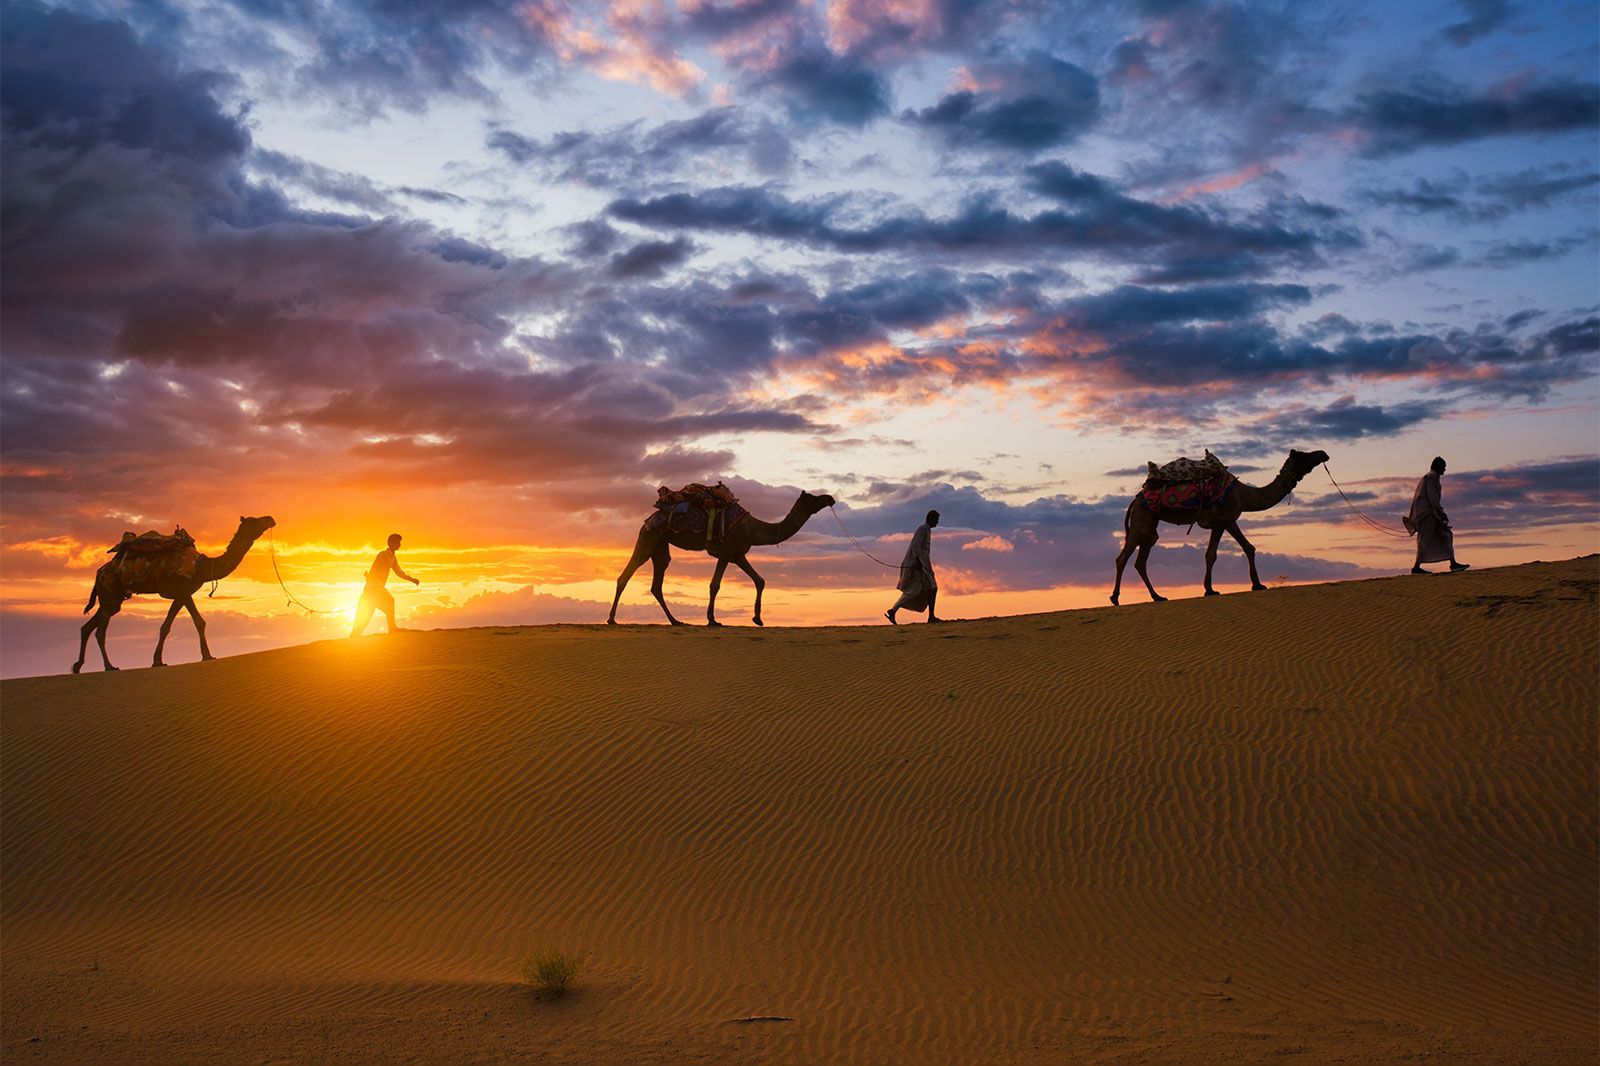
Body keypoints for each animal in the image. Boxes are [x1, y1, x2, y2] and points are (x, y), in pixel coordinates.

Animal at [74, 515, 277, 672]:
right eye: (254, 520)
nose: (270, 519)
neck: (203, 567)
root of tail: (99, 573)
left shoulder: (184, 593)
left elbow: (193, 623)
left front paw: (205, 655)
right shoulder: (182, 590)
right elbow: (177, 625)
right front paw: (160, 661)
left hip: (111, 598)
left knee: (87, 627)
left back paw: (77, 666)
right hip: (110, 591)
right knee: (100, 631)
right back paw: (109, 666)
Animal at [608, 490, 835, 627]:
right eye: (814, 498)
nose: (830, 498)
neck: (753, 528)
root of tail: (648, 519)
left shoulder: (738, 554)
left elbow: (760, 580)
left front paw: (758, 618)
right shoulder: (726, 551)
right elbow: (714, 585)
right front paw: (712, 620)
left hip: (661, 545)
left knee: (657, 583)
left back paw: (676, 621)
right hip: (649, 536)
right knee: (626, 574)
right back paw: (611, 619)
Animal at [1111, 449, 1329, 605]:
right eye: (1304, 455)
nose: (1323, 453)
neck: (1243, 495)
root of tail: (1135, 500)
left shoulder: (1230, 520)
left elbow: (1248, 548)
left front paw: (1257, 584)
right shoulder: (1221, 520)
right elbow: (1212, 554)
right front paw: (1210, 589)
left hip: (1150, 524)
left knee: (1141, 560)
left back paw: (1158, 597)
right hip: (1141, 519)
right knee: (1123, 557)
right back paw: (1115, 598)